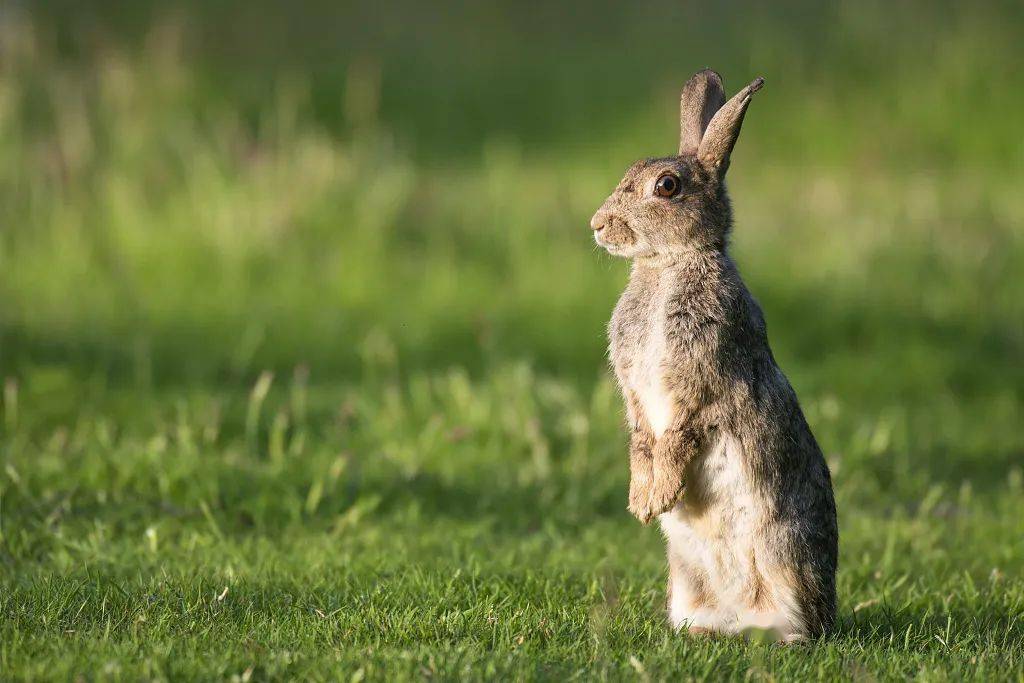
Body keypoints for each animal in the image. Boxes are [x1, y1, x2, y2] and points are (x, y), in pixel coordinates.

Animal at [593, 69, 839, 643]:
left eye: (666, 186)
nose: (597, 225)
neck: (670, 262)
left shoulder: (700, 378)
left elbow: (679, 434)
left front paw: (658, 497)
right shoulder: (635, 391)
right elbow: (642, 436)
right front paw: (641, 501)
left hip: (784, 551)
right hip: (686, 572)